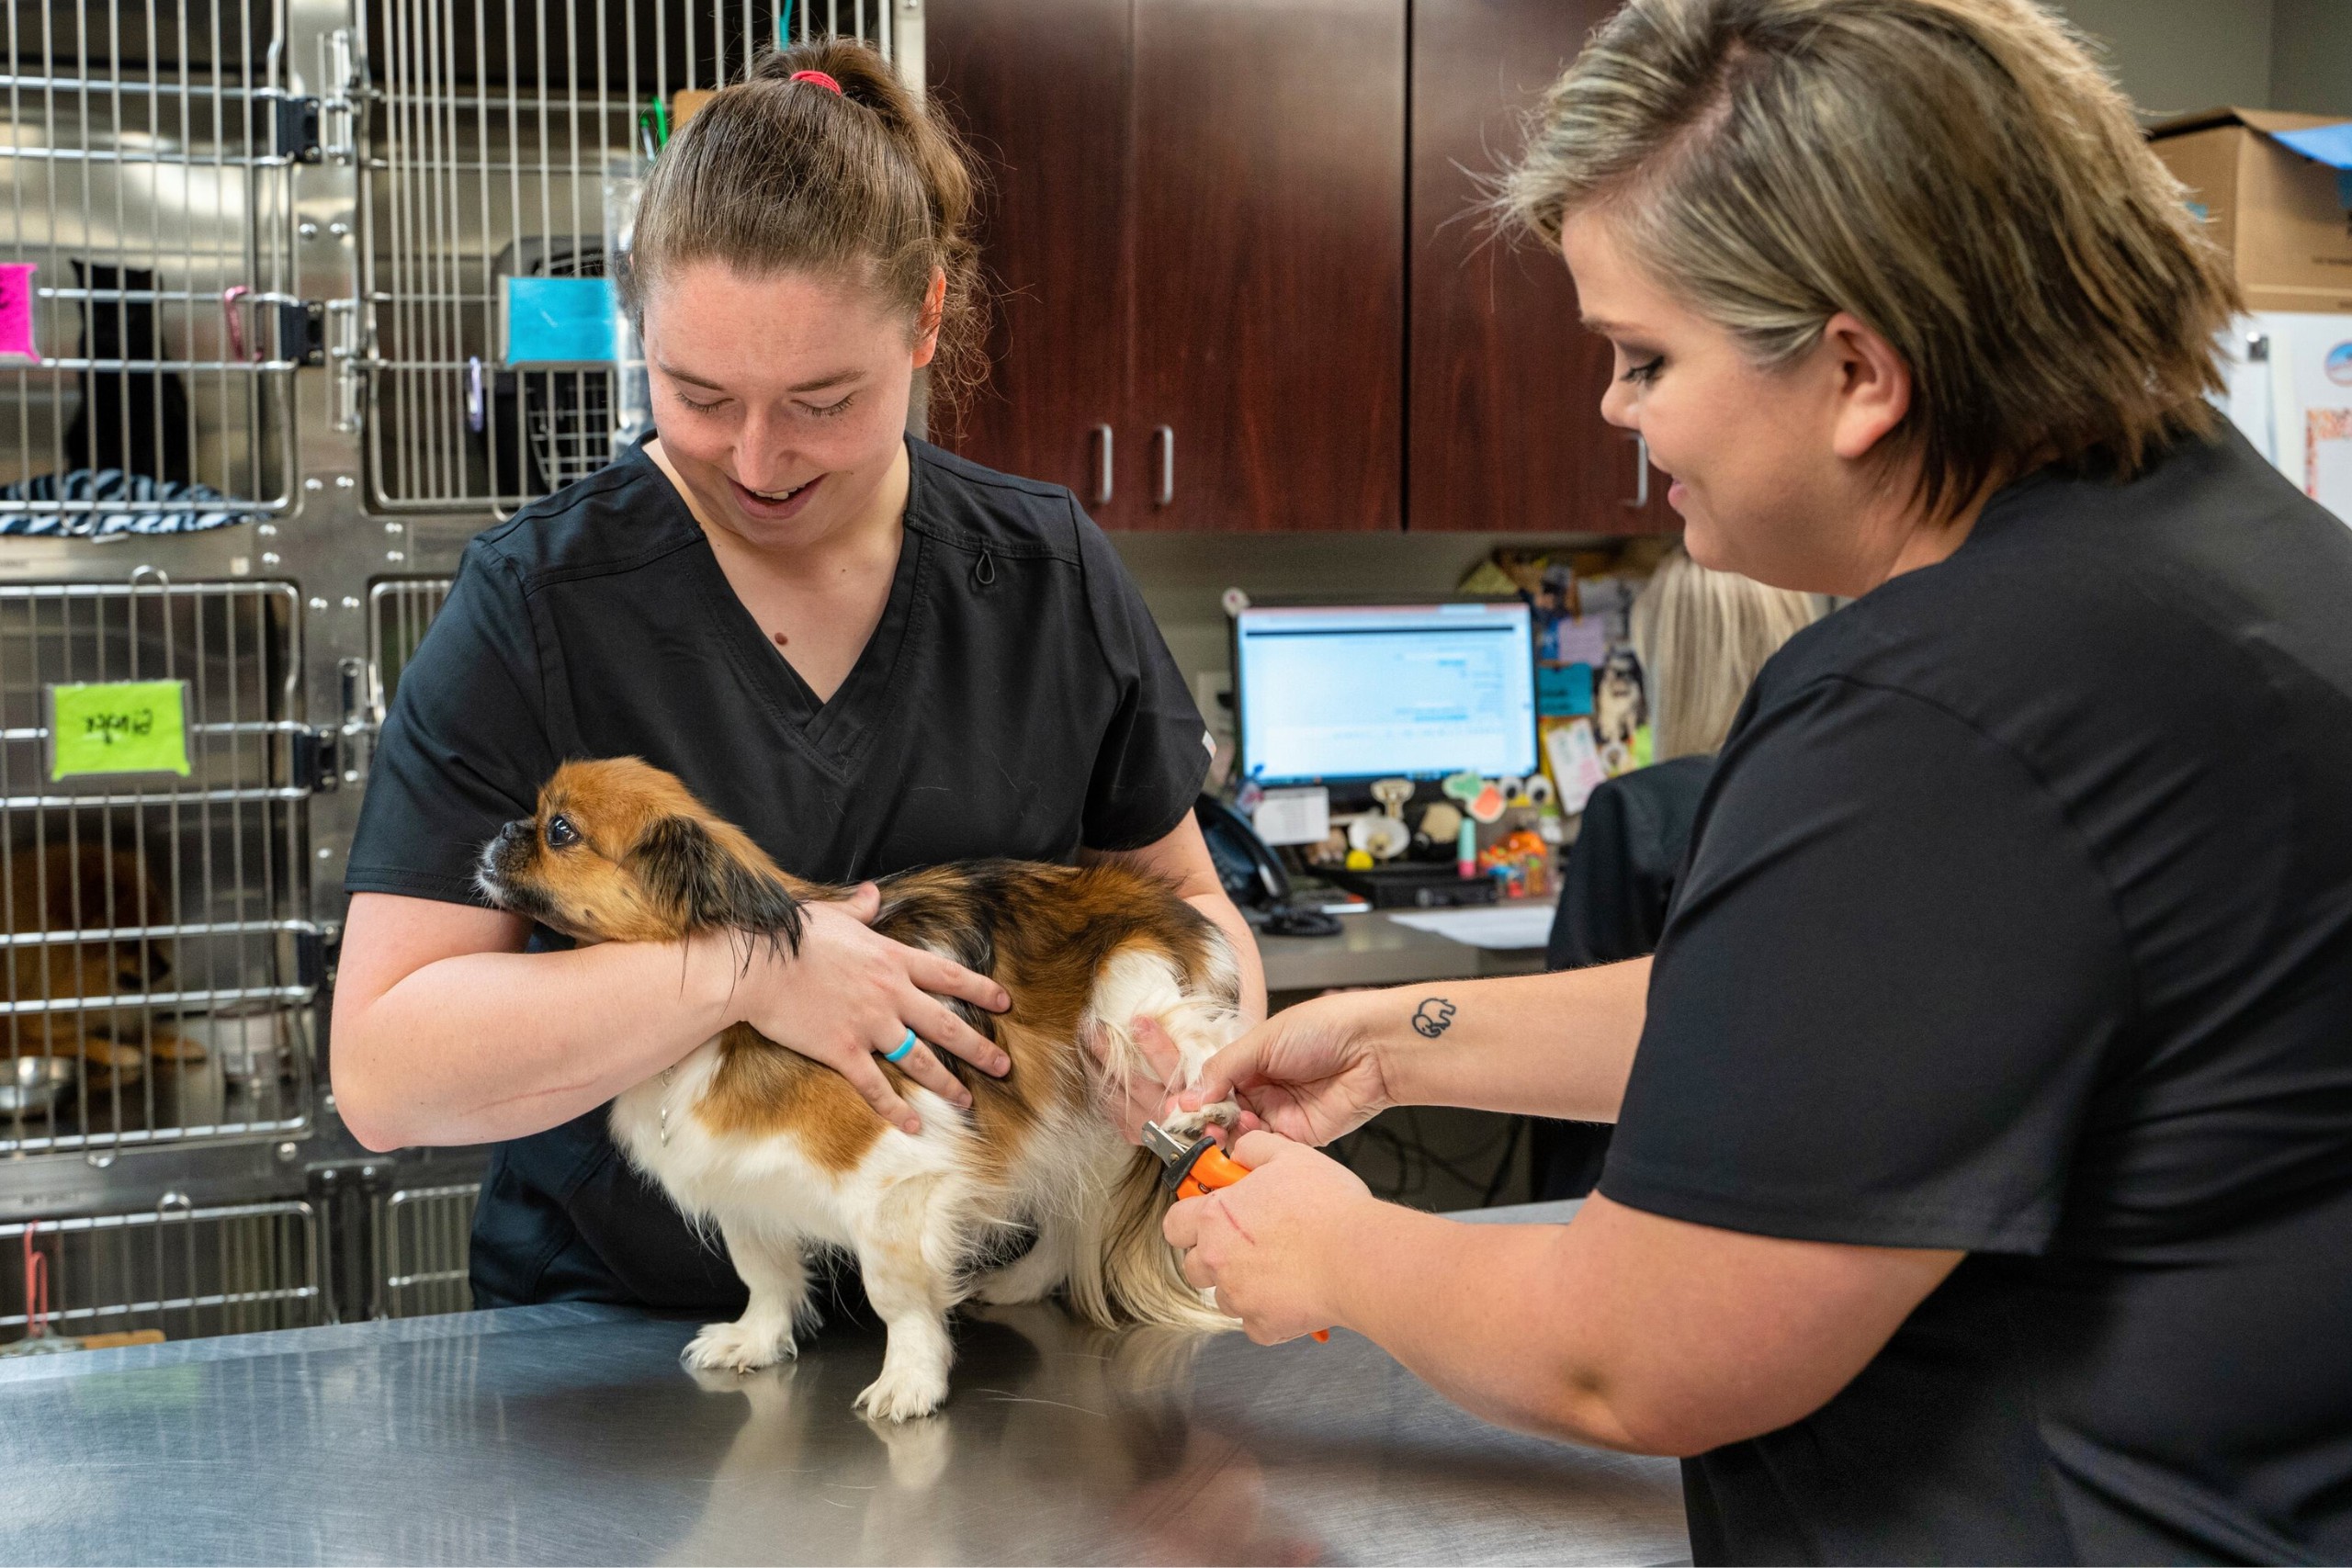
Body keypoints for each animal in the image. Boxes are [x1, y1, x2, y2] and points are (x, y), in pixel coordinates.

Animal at [480, 761, 1250, 1419]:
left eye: (560, 829)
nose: (504, 828)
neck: (721, 1028)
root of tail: (1165, 906)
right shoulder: (742, 1190)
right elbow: (763, 1272)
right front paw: (755, 1339)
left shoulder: (894, 1183)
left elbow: (895, 1296)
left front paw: (911, 1376)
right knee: (1069, 1212)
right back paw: (1022, 1280)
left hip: (1122, 992)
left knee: (1186, 1035)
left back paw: (1201, 1102)